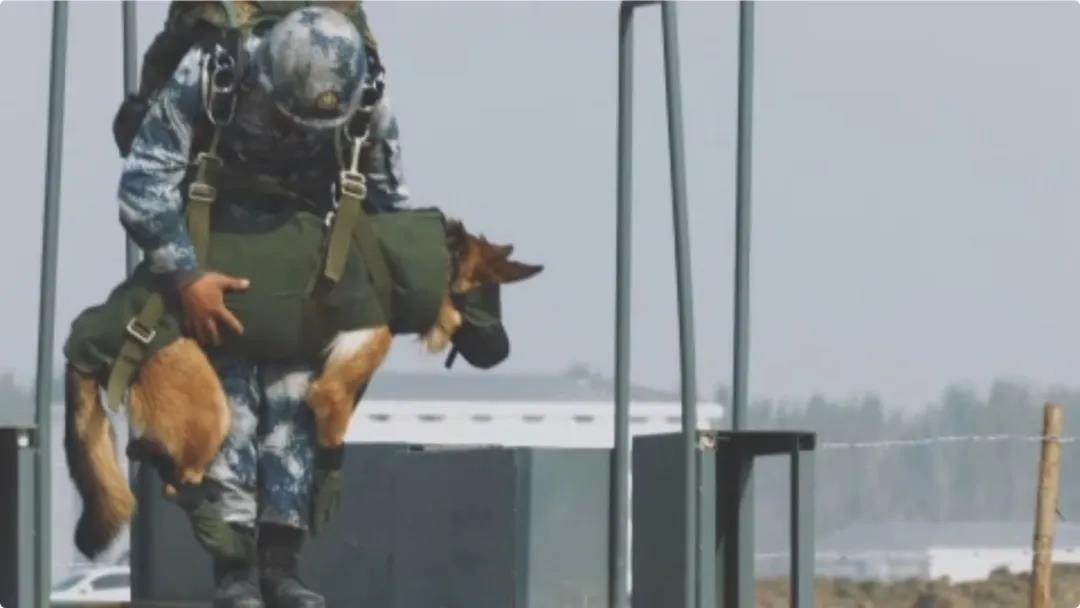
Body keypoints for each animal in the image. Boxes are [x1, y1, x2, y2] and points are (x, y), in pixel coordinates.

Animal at [63, 218, 542, 559]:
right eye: (488, 298)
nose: (503, 352)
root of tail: (85, 340)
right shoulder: (337, 382)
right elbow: (332, 441)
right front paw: (327, 491)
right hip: (208, 409)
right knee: (175, 479)